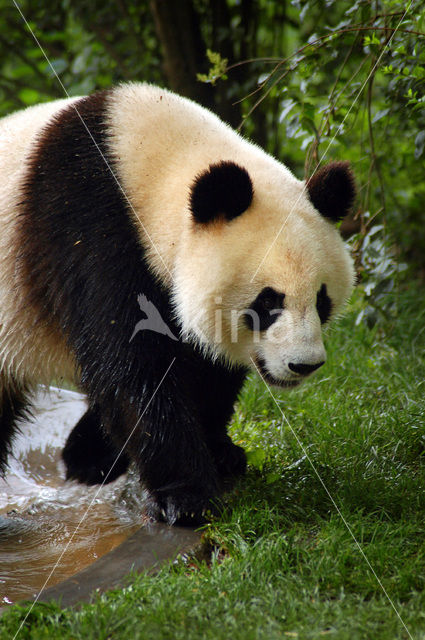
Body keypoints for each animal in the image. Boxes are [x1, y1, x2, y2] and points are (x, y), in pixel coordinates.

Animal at [0, 82, 352, 524]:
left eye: (322, 300)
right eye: (269, 301)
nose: (304, 365)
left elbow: (205, 361)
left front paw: (221, 454)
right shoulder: (87, 230)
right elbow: (132, 364)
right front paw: (187, 497)